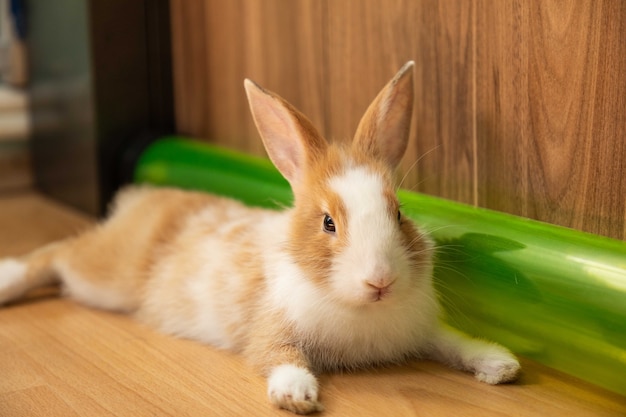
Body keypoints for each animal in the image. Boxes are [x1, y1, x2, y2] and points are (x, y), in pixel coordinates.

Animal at [0, 61, 516, 412]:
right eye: (328, 223)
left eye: (399, 213)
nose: (381, 282)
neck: (358, 308)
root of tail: (139, 203)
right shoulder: (270, 327)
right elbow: (277, 355)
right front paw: (296, 394)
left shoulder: (425, 330)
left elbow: (453, 342)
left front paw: (501, 365)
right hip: (103, 277)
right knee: (56, 253)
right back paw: (7, 280)